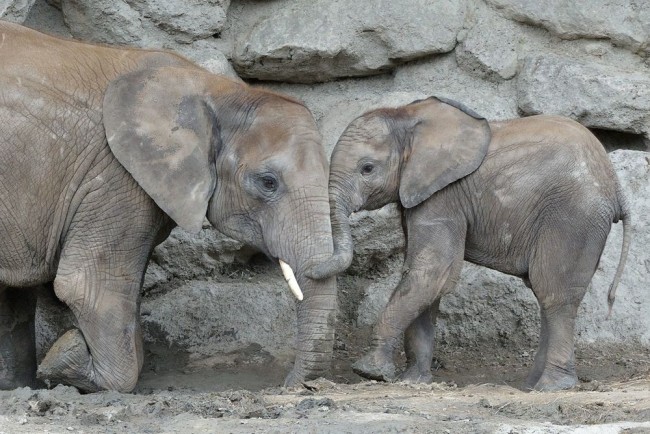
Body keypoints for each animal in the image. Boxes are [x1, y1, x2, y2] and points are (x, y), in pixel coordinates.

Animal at [0, 22, 334, 394]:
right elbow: (88, 286)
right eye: (268, 182)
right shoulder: (116, 177)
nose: (288, 384)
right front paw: (64, 356)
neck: (217, 91)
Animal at [308, 97, 628, 390]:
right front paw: (413, 381)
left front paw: (371, 372)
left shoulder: (443, 197)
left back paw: (551, 387)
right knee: (545, 293)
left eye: (367, 168)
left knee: (555, 293)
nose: (309, 271)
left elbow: (430, 272)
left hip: (573, 216)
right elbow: (427, 278)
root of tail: (615, 186)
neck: (408, 116)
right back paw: (530, 385)